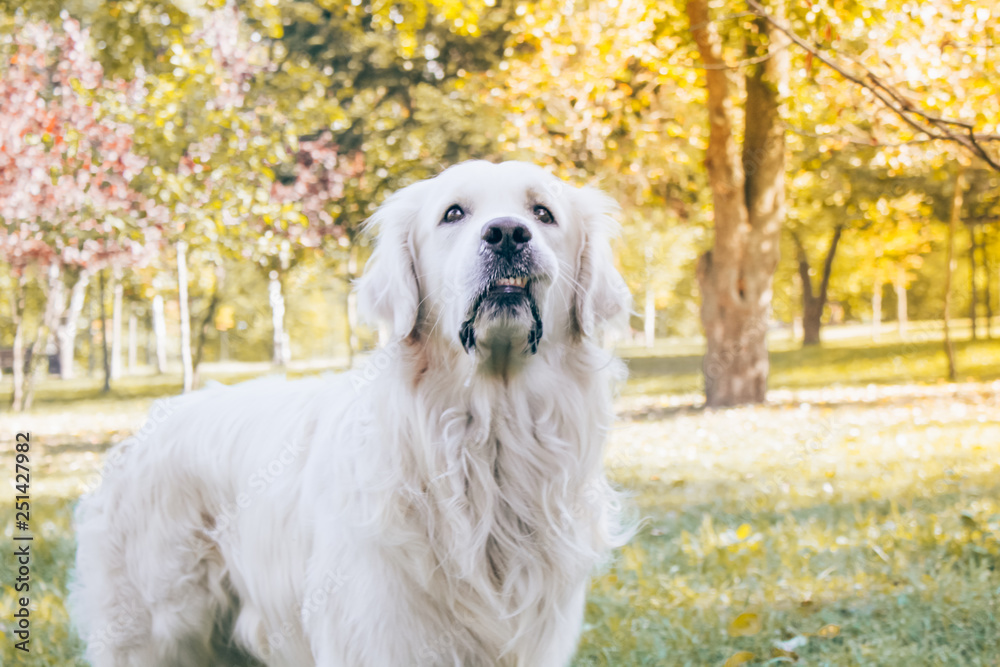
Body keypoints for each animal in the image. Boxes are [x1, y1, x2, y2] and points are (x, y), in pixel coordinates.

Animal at [70, 162, 632, 667]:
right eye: (453, 213)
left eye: (543, 213)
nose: (509, 234)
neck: (488, 434)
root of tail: (147, 426)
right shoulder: (382, 634)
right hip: (152, 628)